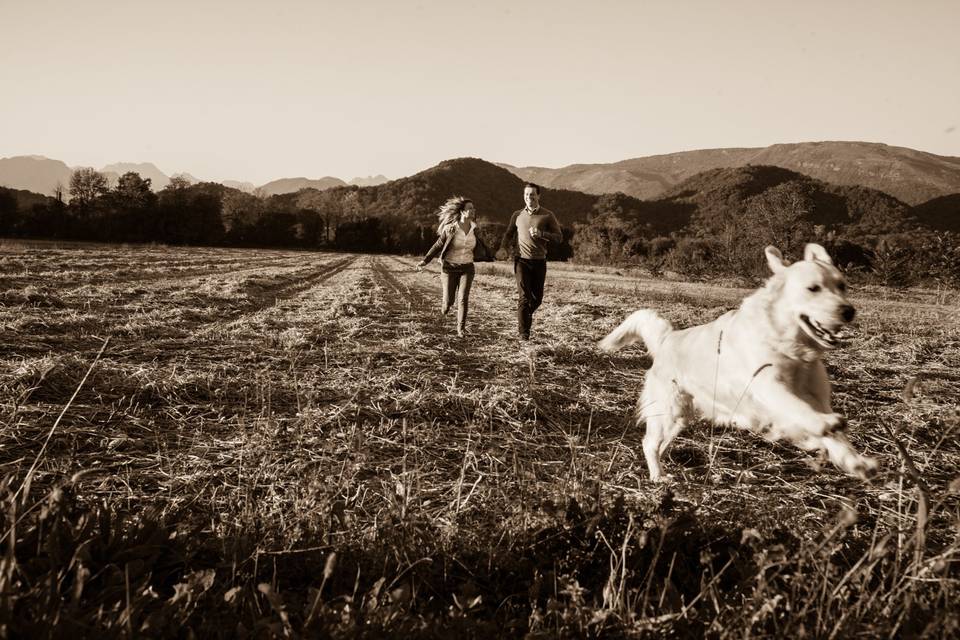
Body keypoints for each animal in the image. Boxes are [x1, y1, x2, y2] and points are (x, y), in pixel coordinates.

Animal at [600, 244, 876, 480]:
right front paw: (824, 423)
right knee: (649, 443)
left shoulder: (818, 397)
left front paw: (857, 462)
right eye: (813, 288)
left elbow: (837, 438)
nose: (848, 311)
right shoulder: (766, 386)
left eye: (842, 286)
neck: (791, 347)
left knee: (661, 444)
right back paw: (658, 476)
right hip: (668, 412)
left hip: (679, 419)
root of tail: (668, 338)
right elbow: (798, 408)